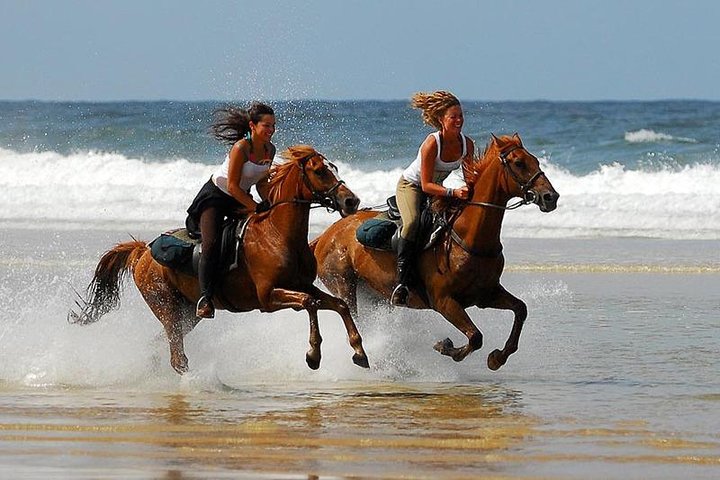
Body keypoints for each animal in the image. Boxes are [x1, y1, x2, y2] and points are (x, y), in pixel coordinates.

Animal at [70, 146, 368, 376]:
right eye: (319, 171)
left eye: (334, 168)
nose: (351, 201)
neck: (278, 235)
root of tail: (143, 252)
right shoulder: (268, 297)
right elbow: (310, 304)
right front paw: (313, 355)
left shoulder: (303, 285)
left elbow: (338, 304)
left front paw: (358, 352)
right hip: (166, 306)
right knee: (177, 357)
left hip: (187, 314)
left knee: (162, 346)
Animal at [312, 135, 560, 372]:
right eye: (519, 163)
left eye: (536, 161)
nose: (551, 197)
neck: (470, 237)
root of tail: (325, 235)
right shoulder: (444, 302)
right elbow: (475, 337)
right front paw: (446, 347)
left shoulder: (486, 294)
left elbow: (520, 309)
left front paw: (497, 358)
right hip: (344, 285)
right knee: (356, 319)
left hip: (376, 295)